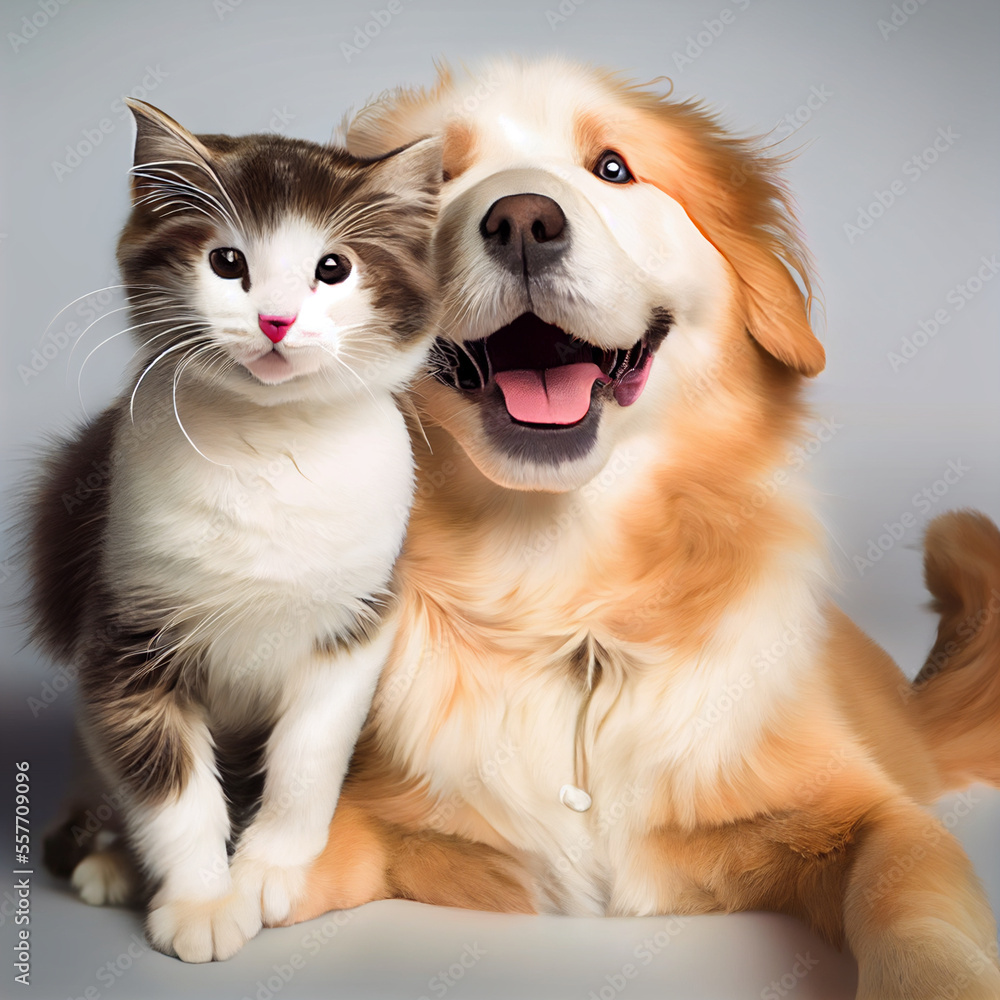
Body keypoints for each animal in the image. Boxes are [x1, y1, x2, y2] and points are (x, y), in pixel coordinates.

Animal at [25, 99, 440, 960]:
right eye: (226, 262)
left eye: (332, 269)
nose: (276, 321)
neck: (269, 442)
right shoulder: (122, 625)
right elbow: (164, 776)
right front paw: (202, 901)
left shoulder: (358, 619)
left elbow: (310, 755)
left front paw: (270, 869)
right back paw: (106, 860)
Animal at [292, 58, 1000, 996]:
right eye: (437, 176)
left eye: (613, 169)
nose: (523, 221)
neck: (566, 592)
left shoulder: (876, 813)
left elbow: (911, 910)